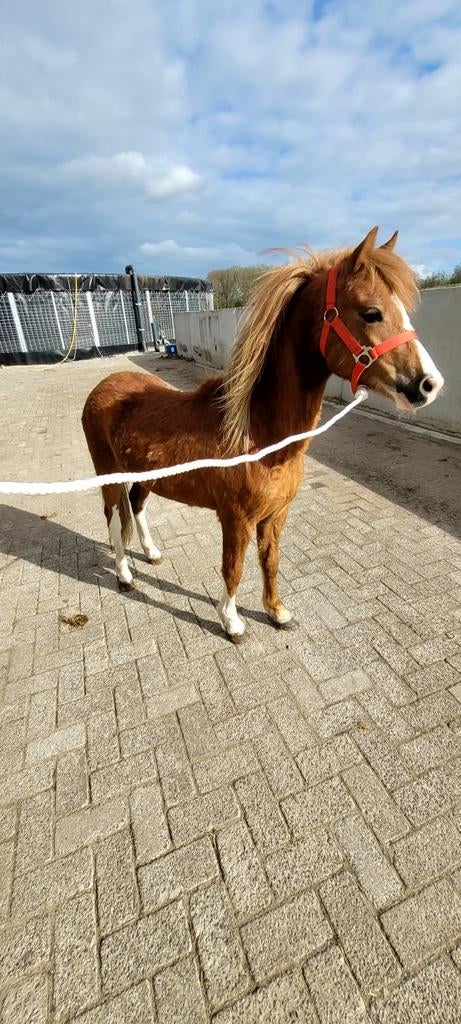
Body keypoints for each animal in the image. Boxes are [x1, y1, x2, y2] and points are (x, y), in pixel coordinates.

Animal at [82, 226, 444, 641]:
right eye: (372, 312)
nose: (429, 384)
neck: (260, 435)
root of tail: (104, 385)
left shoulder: (276, 514)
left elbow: (270, 561)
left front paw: (277, 612)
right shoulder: (236, 520)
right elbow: (234, 567)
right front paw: (231, 621)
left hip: (148, 476)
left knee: (137, 506)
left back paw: (152, 553)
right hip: (108, 476)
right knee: (113, 517)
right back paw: (124, 575)